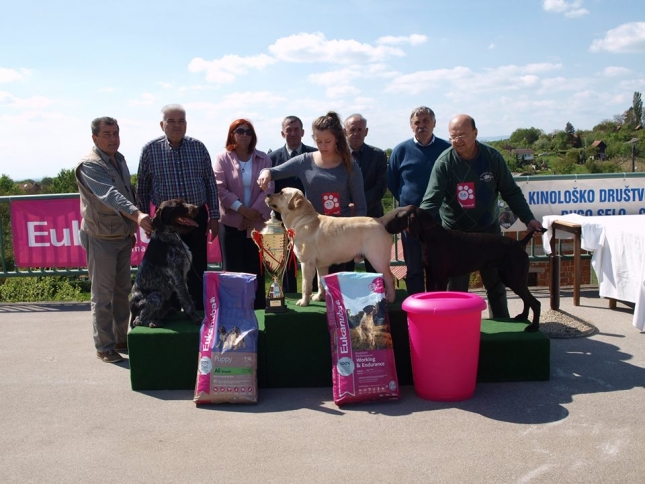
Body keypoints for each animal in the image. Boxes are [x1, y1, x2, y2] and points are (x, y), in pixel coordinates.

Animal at [130, 198, 203, 328]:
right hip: (156, 295)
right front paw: (195, 318)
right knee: (139, 319)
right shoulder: (177, 277)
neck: (169, 236)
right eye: (177, 206)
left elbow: (185, 298)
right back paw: (152, 322)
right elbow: (188, 300)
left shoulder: (182, 276)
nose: (197, 208)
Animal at [262, 188, 392, 306]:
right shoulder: (321, 265)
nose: (267, 194)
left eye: (281, 193)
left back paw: (390, 298)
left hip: (377, 259)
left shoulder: (306, 263)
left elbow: (305, 285)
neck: (302, 219)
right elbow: (320, 282)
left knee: (389, 277)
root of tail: (379, 221)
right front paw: (319, 297)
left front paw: (304, 302)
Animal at [382, 204, 544, 332]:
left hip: (514, 278)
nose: (385, 227)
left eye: (398, 217)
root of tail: (520, 243)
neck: (431, 237)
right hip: (513, 279)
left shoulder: (441, 277)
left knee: (535, 302)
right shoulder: (430, 274)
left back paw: (533, 327)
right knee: (527, 300)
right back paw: (522, 316)